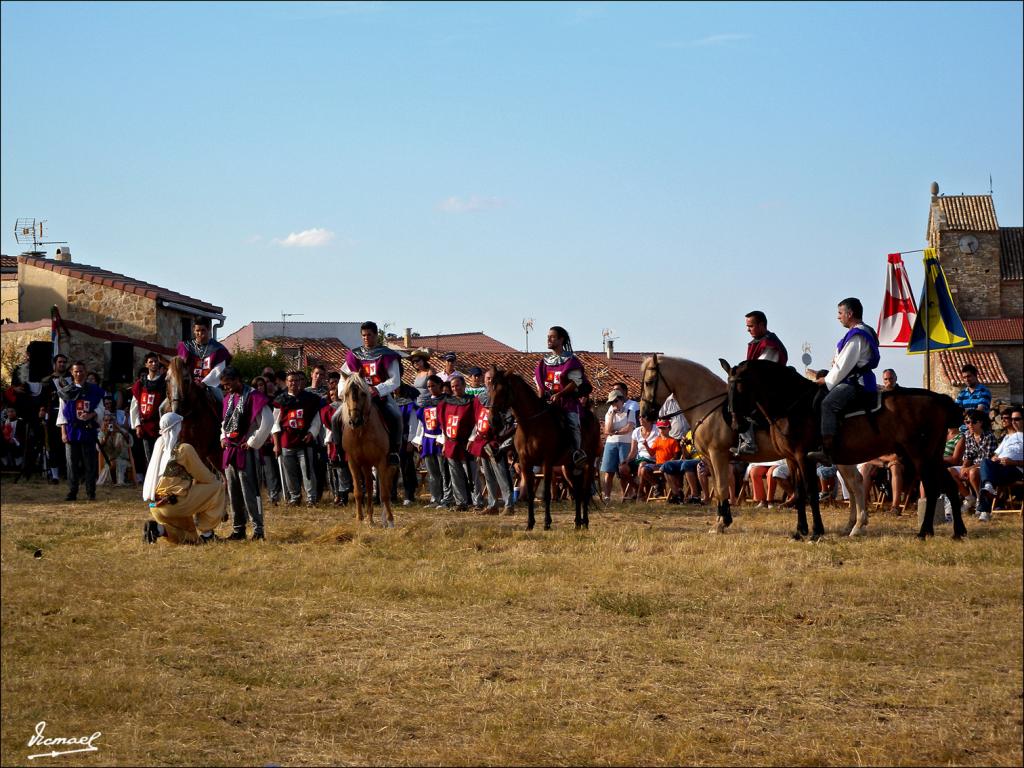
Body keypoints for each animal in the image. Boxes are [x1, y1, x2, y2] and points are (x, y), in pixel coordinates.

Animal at [329, 372, 393, 528]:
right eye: (346, 394)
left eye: (363, 393)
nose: (354, 421)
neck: (361, 431)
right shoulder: (353, 461)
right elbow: (358, 491)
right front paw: (359, 518)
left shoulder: (381, 461)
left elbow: (384, 493)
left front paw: (390, 520)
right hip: (365, 464)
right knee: (369, 486)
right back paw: (369, 518)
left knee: (380, 487)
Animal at [487, 370, 598, 532]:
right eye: (490, 389)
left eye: (502, 390)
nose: (492, 420)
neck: (531, 425)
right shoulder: (525, 463)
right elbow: (530, 493)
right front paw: (530, 523)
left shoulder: (547, 463)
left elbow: (546, 493)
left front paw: (547, 523)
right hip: (568, 467)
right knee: (577, 491)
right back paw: (578, 522)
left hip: (588, 464)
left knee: (585, 491)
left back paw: (586, 522)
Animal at [634, 354, 868, 536]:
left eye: (649, 382)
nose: (645, 414)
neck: (709, 406)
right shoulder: (709, 460)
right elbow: (718, 490)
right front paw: (721, 521)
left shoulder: (718, 455)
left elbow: (722, 487)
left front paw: (722, 524)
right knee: (852, 485)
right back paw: (852, 525)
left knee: (855, 484)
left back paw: (857, 525)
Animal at [720, 360, 966, 540]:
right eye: (727, 387)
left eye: (739, 387)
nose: (736, 424)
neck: (792, 405)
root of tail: (938, 399)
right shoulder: (791, 459)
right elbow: (799, 493)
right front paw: (800, 531)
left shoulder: (804, 457)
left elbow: (810, 492)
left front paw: (816, 532)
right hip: (932, 455)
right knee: (949, 487)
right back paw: (956, 532)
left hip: (918, 456)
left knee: (931, 488)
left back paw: (923, 531)